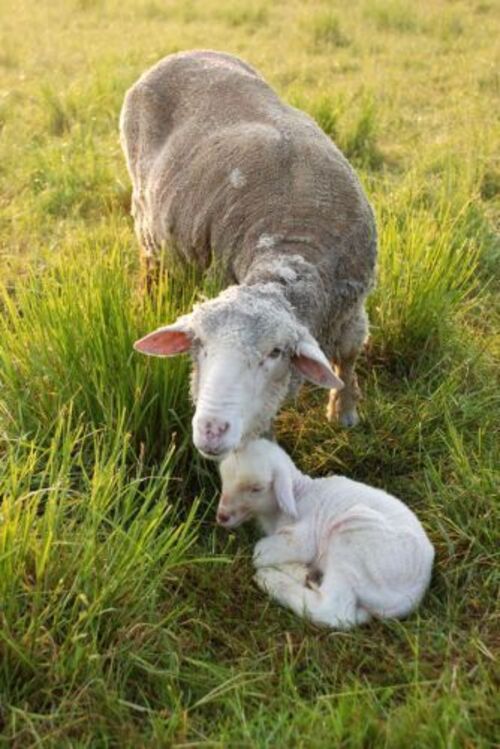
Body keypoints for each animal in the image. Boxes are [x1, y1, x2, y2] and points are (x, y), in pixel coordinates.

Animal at [121, 51, 376, 456]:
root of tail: (180, 54)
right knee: (151, 265)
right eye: (199, 347)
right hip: (145, 218)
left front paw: (344, 412)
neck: (292, 248)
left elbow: (349, 356)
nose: (211, 429)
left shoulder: (352, 307)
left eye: (274, 353)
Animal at [218, 436, 434, 628]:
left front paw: (293, 569)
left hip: (353, 541)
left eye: (256, 488)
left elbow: (260, 552)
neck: (299, 493)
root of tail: (411, 597)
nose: (221, 516)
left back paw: (272, 580)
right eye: (223, 478)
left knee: (333, 611)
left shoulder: (304, 538)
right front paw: (301, 571)